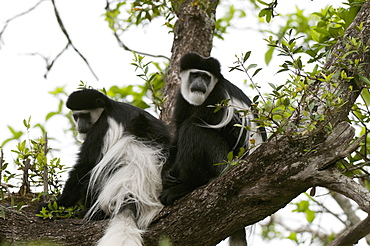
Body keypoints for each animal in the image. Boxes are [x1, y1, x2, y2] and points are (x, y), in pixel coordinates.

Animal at [37, 89, 171, 246]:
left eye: (85, 115)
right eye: (76, 116)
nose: (80, 126)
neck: (109, 108)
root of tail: (131, 187)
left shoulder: (100, 129)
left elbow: (84, 166)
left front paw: (55, 205)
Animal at [159, 52, 266, 246]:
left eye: (206, 77)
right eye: (195, 75)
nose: (199, 84)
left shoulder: (219, 99)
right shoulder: (182, 99)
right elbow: (177, 132)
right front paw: (166, 173)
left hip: (223, 161)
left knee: (194, 128)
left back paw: (188, 185)